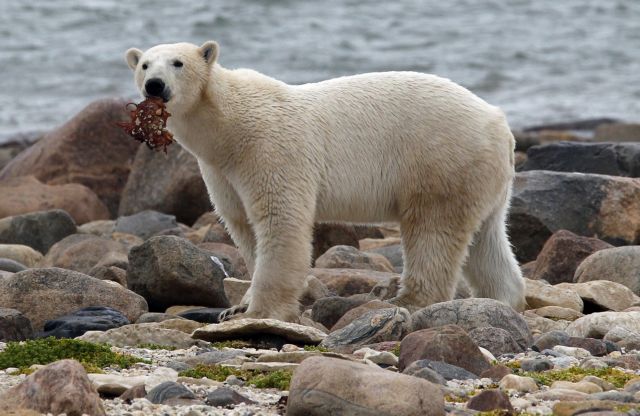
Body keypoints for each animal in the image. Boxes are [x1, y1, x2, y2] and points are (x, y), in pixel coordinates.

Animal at [125, 41, 524, 322]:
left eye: (177, 62)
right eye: (144, 64)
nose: (155, 85)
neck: (228, 126)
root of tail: (500, 123)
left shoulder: (269, 149)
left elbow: (280, 220)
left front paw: (261, 311)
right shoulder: (221, 171)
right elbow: (243, 226)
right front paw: (236, 307)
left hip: (440, 159)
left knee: (432, 229)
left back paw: (409, 300)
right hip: (482, 177)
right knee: (487, 239)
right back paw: (503, 299)